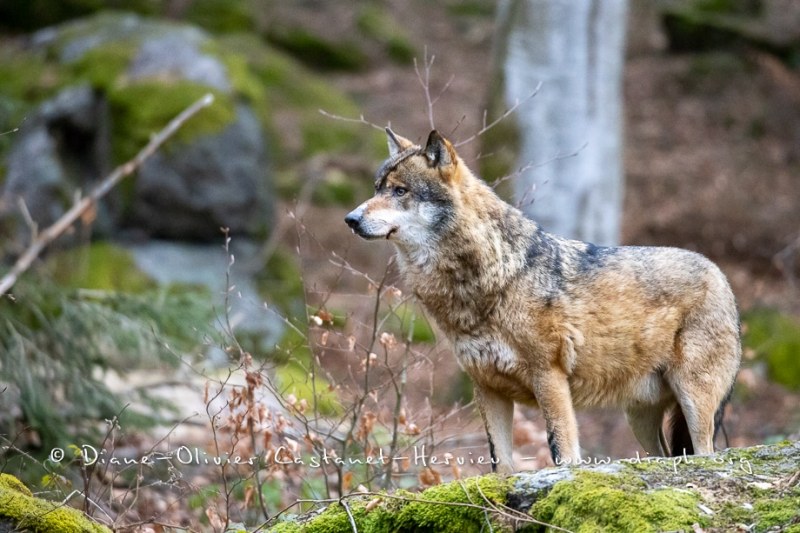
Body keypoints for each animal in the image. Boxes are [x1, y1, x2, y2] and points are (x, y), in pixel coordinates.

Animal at [346, 128, 744, 470]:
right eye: (377, 188)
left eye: (400, 191)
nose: (350, 218)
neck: (491, 275)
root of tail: (721, 275)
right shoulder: (486, 386)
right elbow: (500, 462)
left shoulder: (548, 375)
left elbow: (561, 449)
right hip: (639, 417)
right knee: (664, 456)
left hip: (693, 402)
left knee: (706, 452)